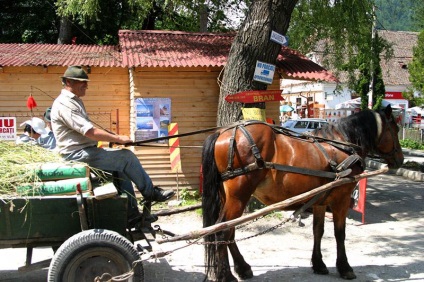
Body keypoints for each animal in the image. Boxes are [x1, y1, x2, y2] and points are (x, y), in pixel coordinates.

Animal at [202, 104, 404, 280]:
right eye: (395, 129)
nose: (400, 159)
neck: (343, 145)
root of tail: (222, 133)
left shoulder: (320, 200)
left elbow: (318, 231)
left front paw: (319, 264)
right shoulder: (342, 199)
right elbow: (340, 233)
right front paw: (345, 267)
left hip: (228, 197)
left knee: (227, 230)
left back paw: (242, 268)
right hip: (238, 196)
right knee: (223, 231)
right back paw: (226, 275)